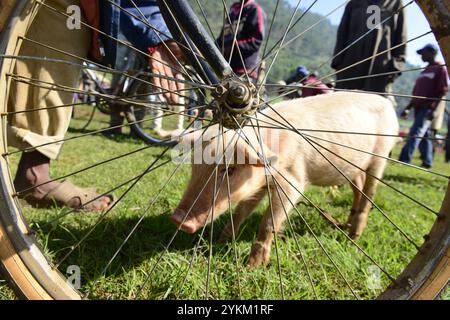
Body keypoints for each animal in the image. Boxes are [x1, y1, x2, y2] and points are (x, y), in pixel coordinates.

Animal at [171, 91, 400, 266]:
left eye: (230, 170)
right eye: (195, 165)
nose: (178, 219)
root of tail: (387, 103)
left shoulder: (294, 180)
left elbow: (268, 222)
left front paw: (252, 267)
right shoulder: (259, 184)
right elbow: (239, 213)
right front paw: (219, 244)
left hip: (380, 157)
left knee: (369, 194)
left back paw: (353, 238)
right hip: (353, 169)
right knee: (358, 188)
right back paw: (347, 225)